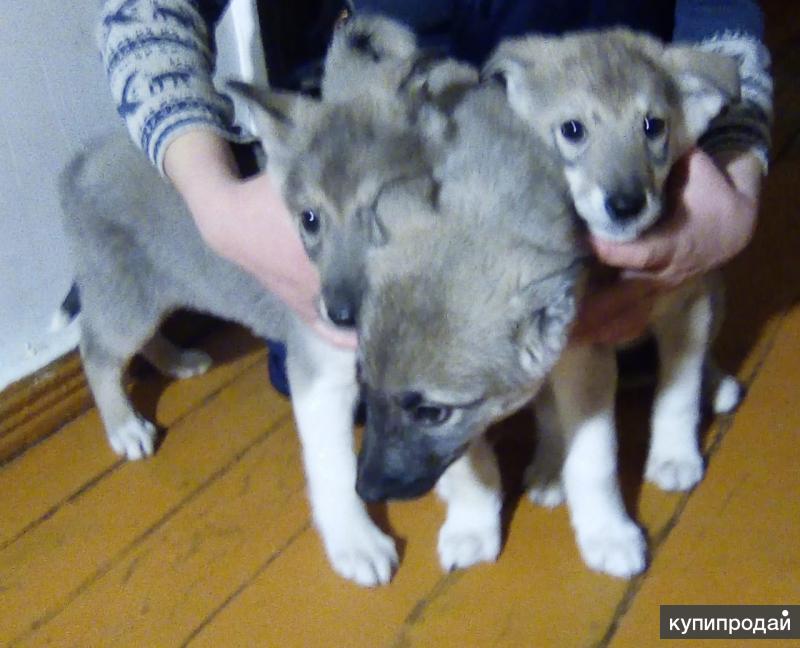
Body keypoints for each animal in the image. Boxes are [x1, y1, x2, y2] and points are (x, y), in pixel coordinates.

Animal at [488, 27, 744, 576]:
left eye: (653, 125)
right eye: (573, 130)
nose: (626, 204)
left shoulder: (686, 309)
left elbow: (677, 395)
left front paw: (674, 456)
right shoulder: (582, 354)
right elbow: (593, 458)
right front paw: (609, 534)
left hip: (715, 288)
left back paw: (718, 386)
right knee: (548, 416)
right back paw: (548, 468)